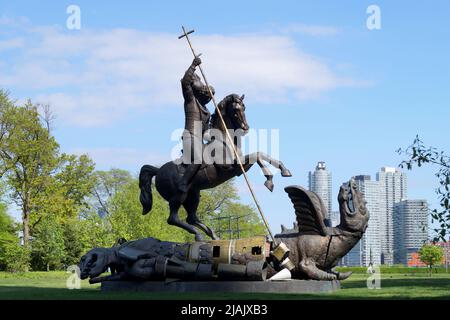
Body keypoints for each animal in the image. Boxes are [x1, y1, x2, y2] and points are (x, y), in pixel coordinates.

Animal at [139, 94, 292, 240]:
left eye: (244, 107)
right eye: (235, 110)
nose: (245, 128)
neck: (225, 140)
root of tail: (158, 170)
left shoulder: (240, 167)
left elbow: (260, 154)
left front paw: (284, 170)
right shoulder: (231, 167)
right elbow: (257, 155)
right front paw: (269, 180)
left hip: (193, 195)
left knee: (191, 217)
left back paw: (213, 235)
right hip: (179, 196)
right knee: (173, 219)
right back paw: (199, 235)